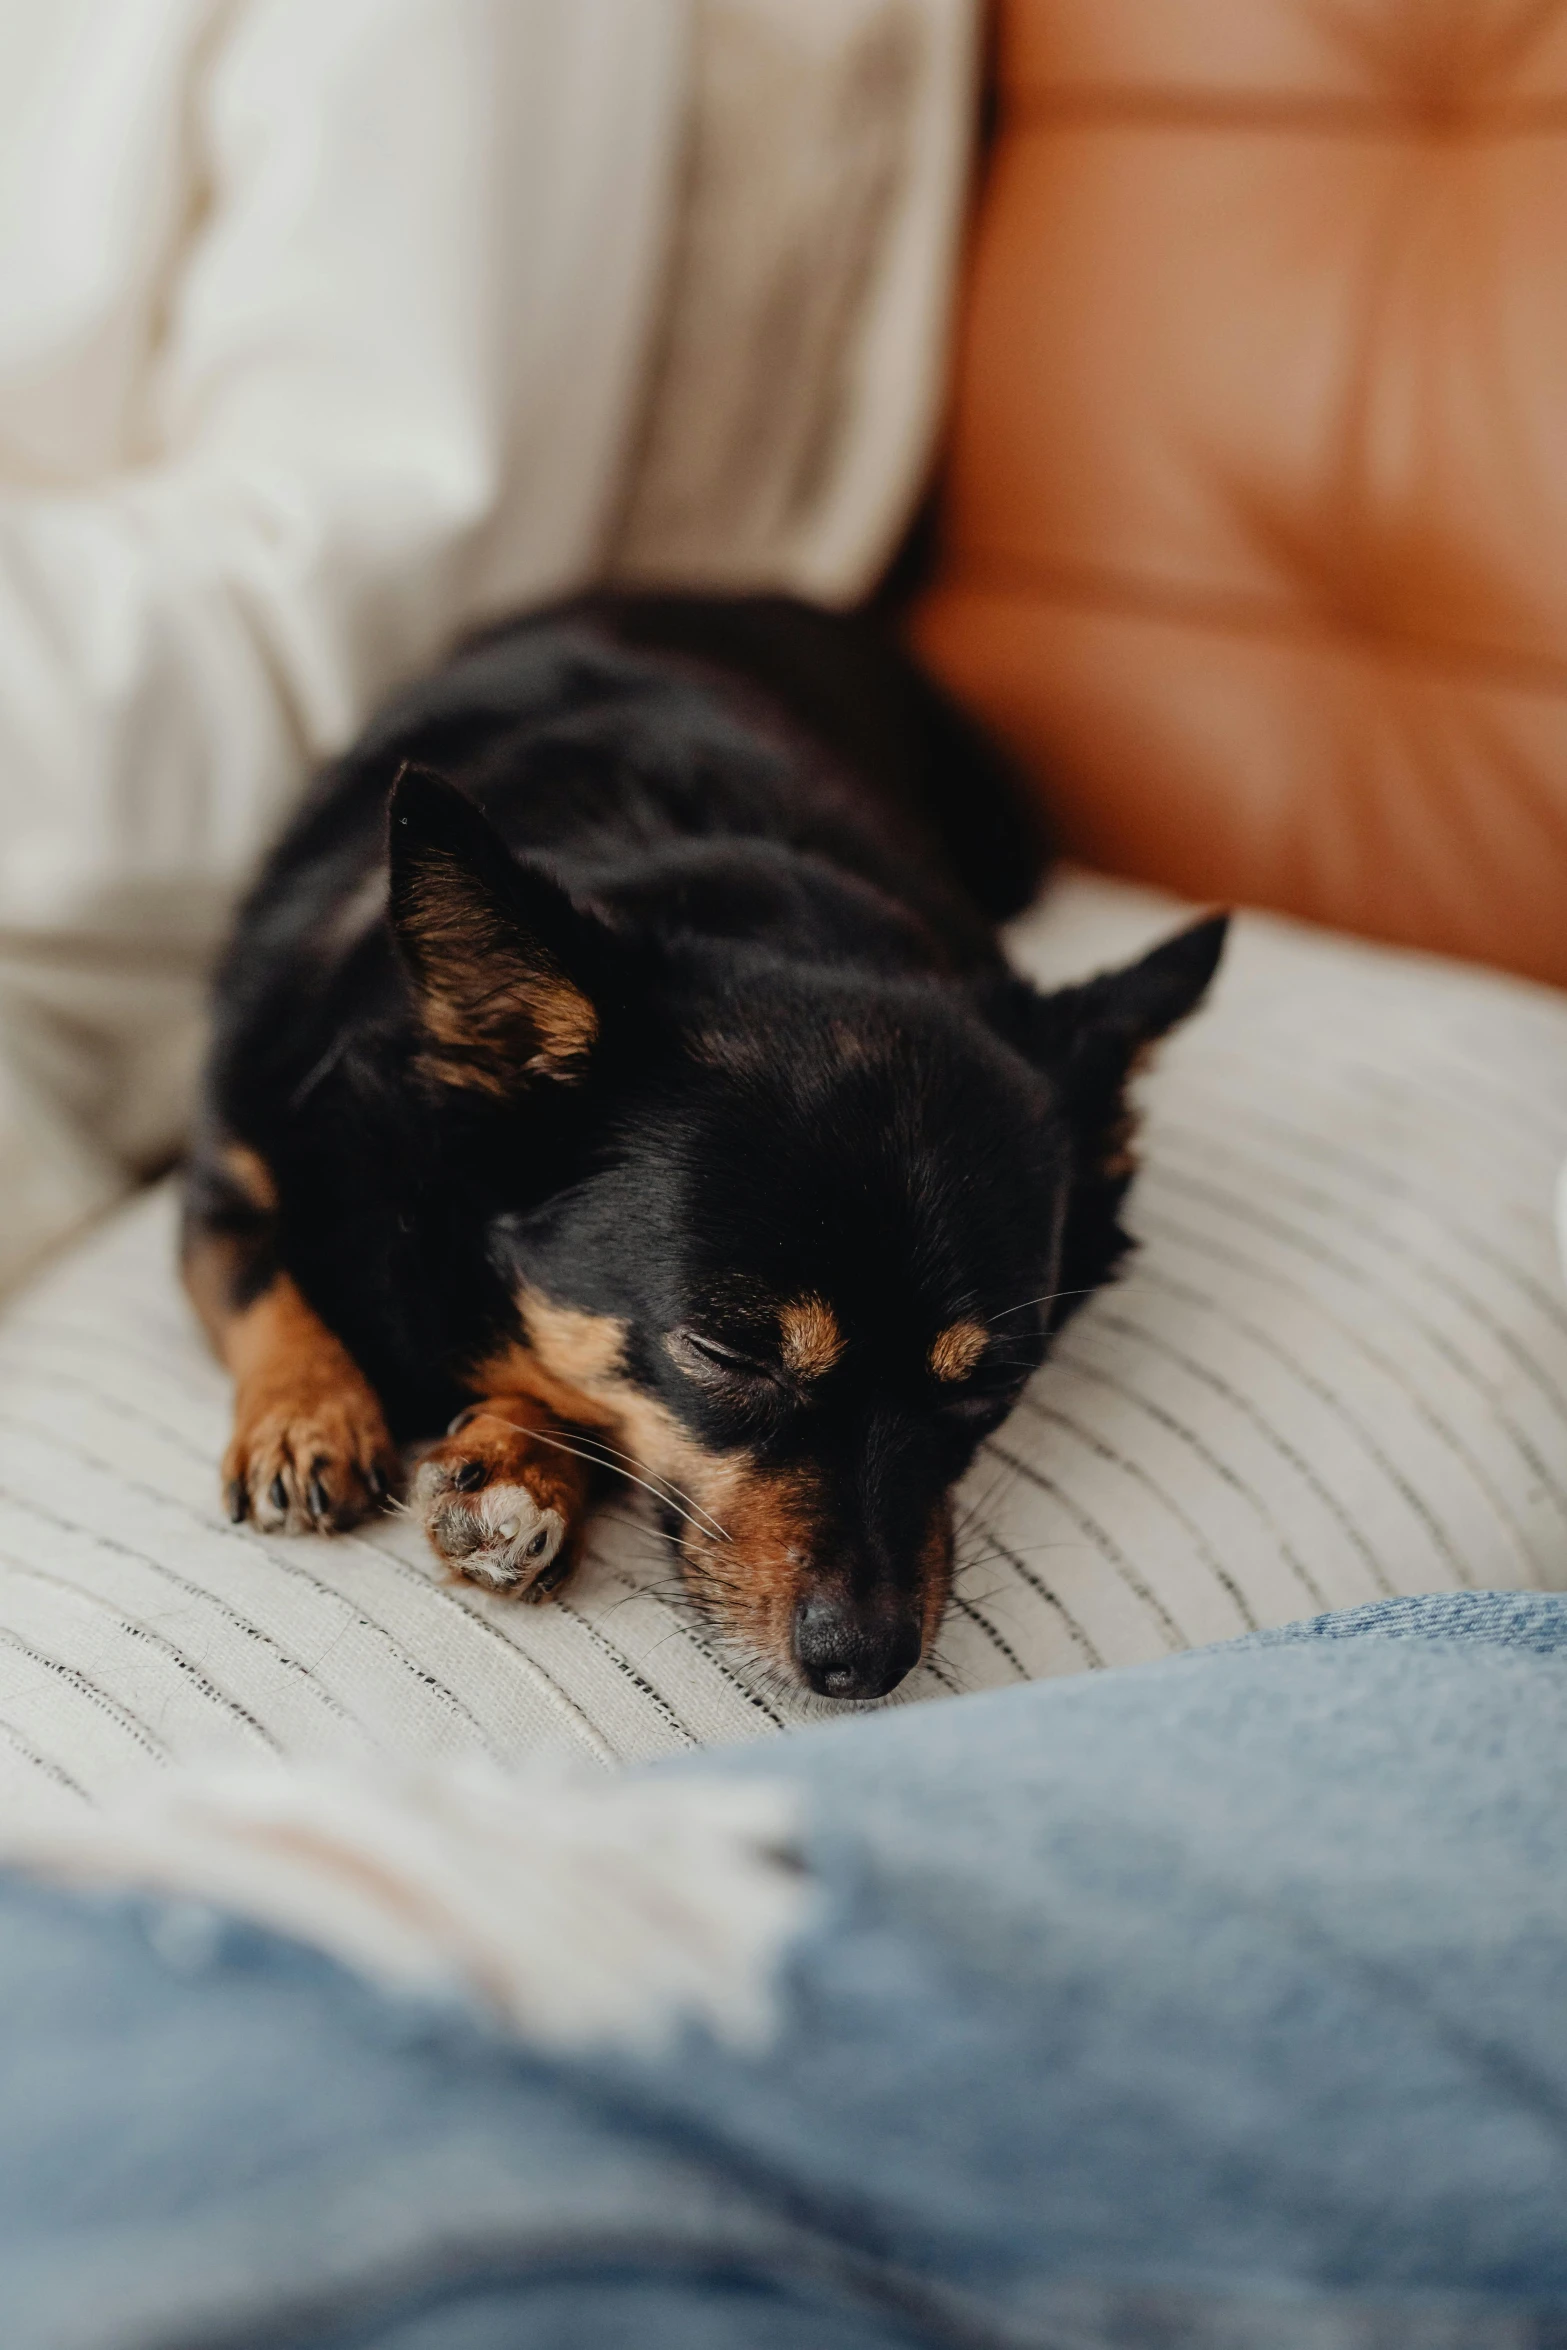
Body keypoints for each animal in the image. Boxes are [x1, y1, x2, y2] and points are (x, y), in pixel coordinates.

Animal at [184, 596, 1221, 1701]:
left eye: (993, 1387)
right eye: (726, 1352)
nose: (866, 1663)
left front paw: (521, 1463)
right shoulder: (227, 1166)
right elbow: (260, 1276)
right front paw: (309, 1417)